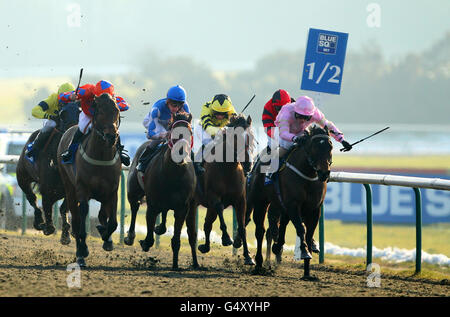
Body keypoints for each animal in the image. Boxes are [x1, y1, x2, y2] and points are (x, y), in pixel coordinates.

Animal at [16, 101, 80, 242]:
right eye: (62, 114)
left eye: (80, 112)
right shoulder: (46, 189)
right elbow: (48, 213)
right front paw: (46, 226)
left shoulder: (70, 189)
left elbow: (64, 208)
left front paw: (66, 234)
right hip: (22, 177)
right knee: (32, 198)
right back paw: (39, 221)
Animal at [57, 92, 122, 266]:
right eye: (99, 111)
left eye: (116, 110)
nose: (111, 136)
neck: (101, 156)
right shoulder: (82, 189)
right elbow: (82, 217)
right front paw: (82, 251)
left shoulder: (112, 191)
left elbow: (112, 222)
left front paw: (106, 238)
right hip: (69, 187)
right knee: (76, 218)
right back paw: (80, 251)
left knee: (101, 215)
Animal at [134, 111, 197, 270]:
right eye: (173, 132)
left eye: (190, 132)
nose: (181, 152)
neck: (173, 174)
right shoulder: (152, 205)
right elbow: (150, 238)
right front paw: (145, 242)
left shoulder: (182, 208)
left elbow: (176, 239)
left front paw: (175, 265)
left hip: (192, 207)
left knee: (192, 235)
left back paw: (196, 263)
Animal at [194, 113, 255, 264]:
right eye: (236, 138)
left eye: (252, 137)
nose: (248, 164)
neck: (228, 170)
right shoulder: (213, 197)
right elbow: (220, 208)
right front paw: (226, 238)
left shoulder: (241, 201)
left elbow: (242, 226)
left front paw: (248, 256)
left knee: (207, 224)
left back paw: (205, 247)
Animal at [248, 124, 332, 278]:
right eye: (315, 147)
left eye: (330, 146)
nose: (324, 173)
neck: (307, 175)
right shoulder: (293, 205)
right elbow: (301, 228)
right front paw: (304, 252)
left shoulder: (314, 209)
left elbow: (308, 233)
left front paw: (307, 272)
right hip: (260, 202)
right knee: (260, 231)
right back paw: (258, 263)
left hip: (278, 205)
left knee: (278, 227)